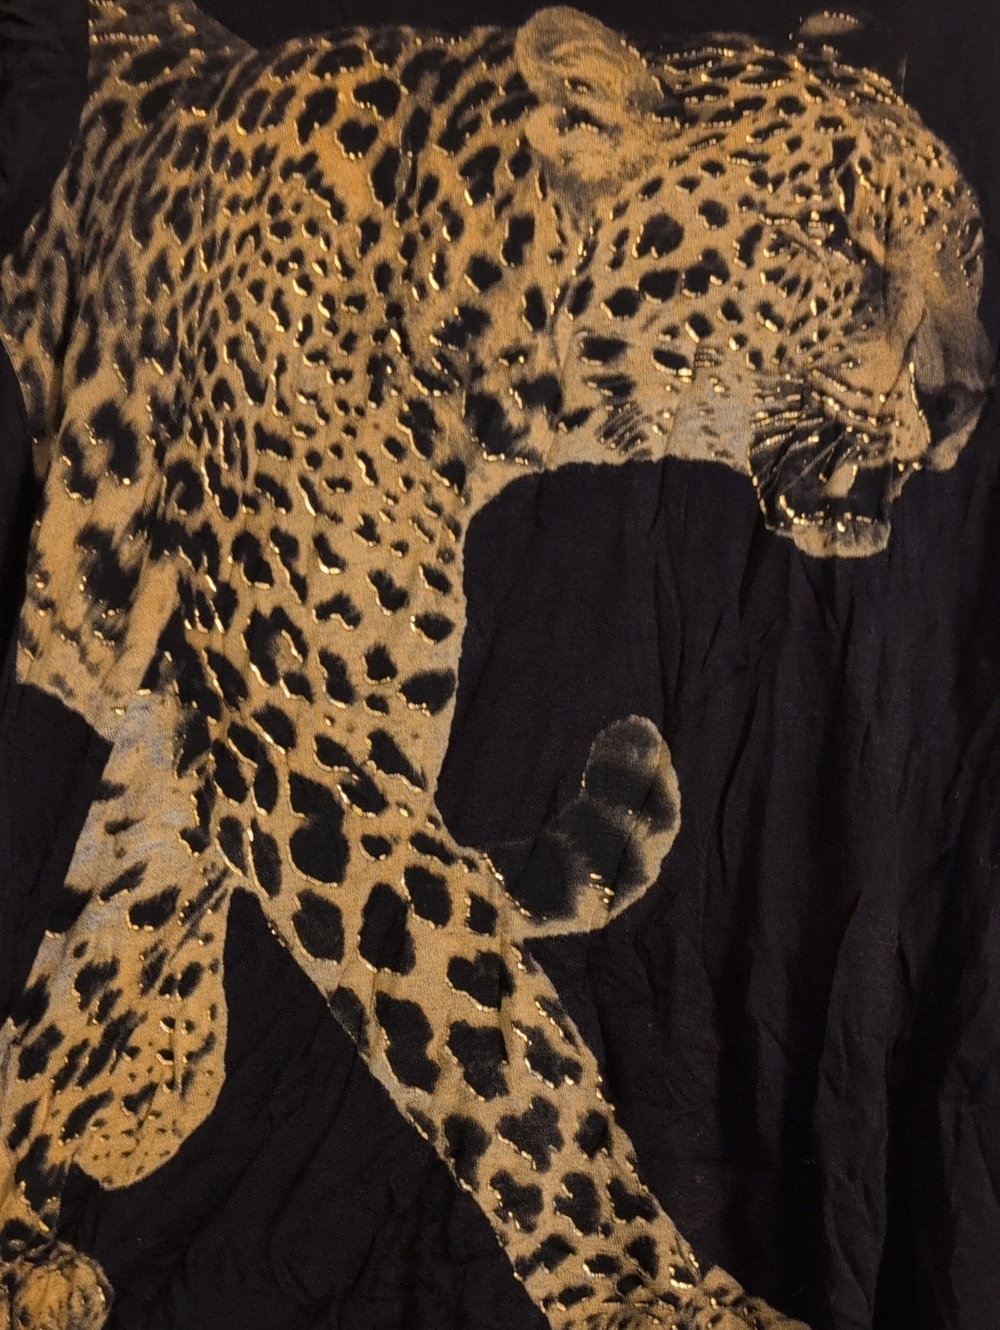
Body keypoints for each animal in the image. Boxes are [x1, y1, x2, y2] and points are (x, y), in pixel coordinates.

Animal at [0, 2, 990, 1327]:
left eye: (968, 246)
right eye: (828, 236)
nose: (966, 398)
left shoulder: (189, 750)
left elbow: (85, 967)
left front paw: (13, 1215)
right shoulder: (314, 751)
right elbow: (501, 1045)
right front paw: (655, 1293)